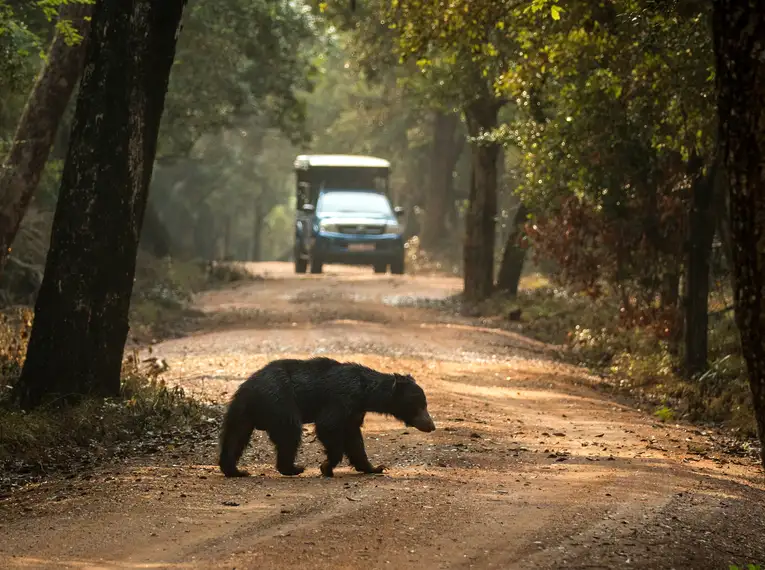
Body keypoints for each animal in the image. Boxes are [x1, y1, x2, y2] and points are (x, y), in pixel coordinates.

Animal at [218, 357, 436, 478]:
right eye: (421, 405)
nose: (431, 425)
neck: (365, 395)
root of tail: (248, 388)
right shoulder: (342, 398)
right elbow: (328, 426)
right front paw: (326, 466)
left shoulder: (355, 412)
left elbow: (354, 440)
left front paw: (374, 467)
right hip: (280, 400)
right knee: (290, 432)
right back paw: (293, 468)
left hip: (241, 412)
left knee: (234, 437)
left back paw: (235, 470)